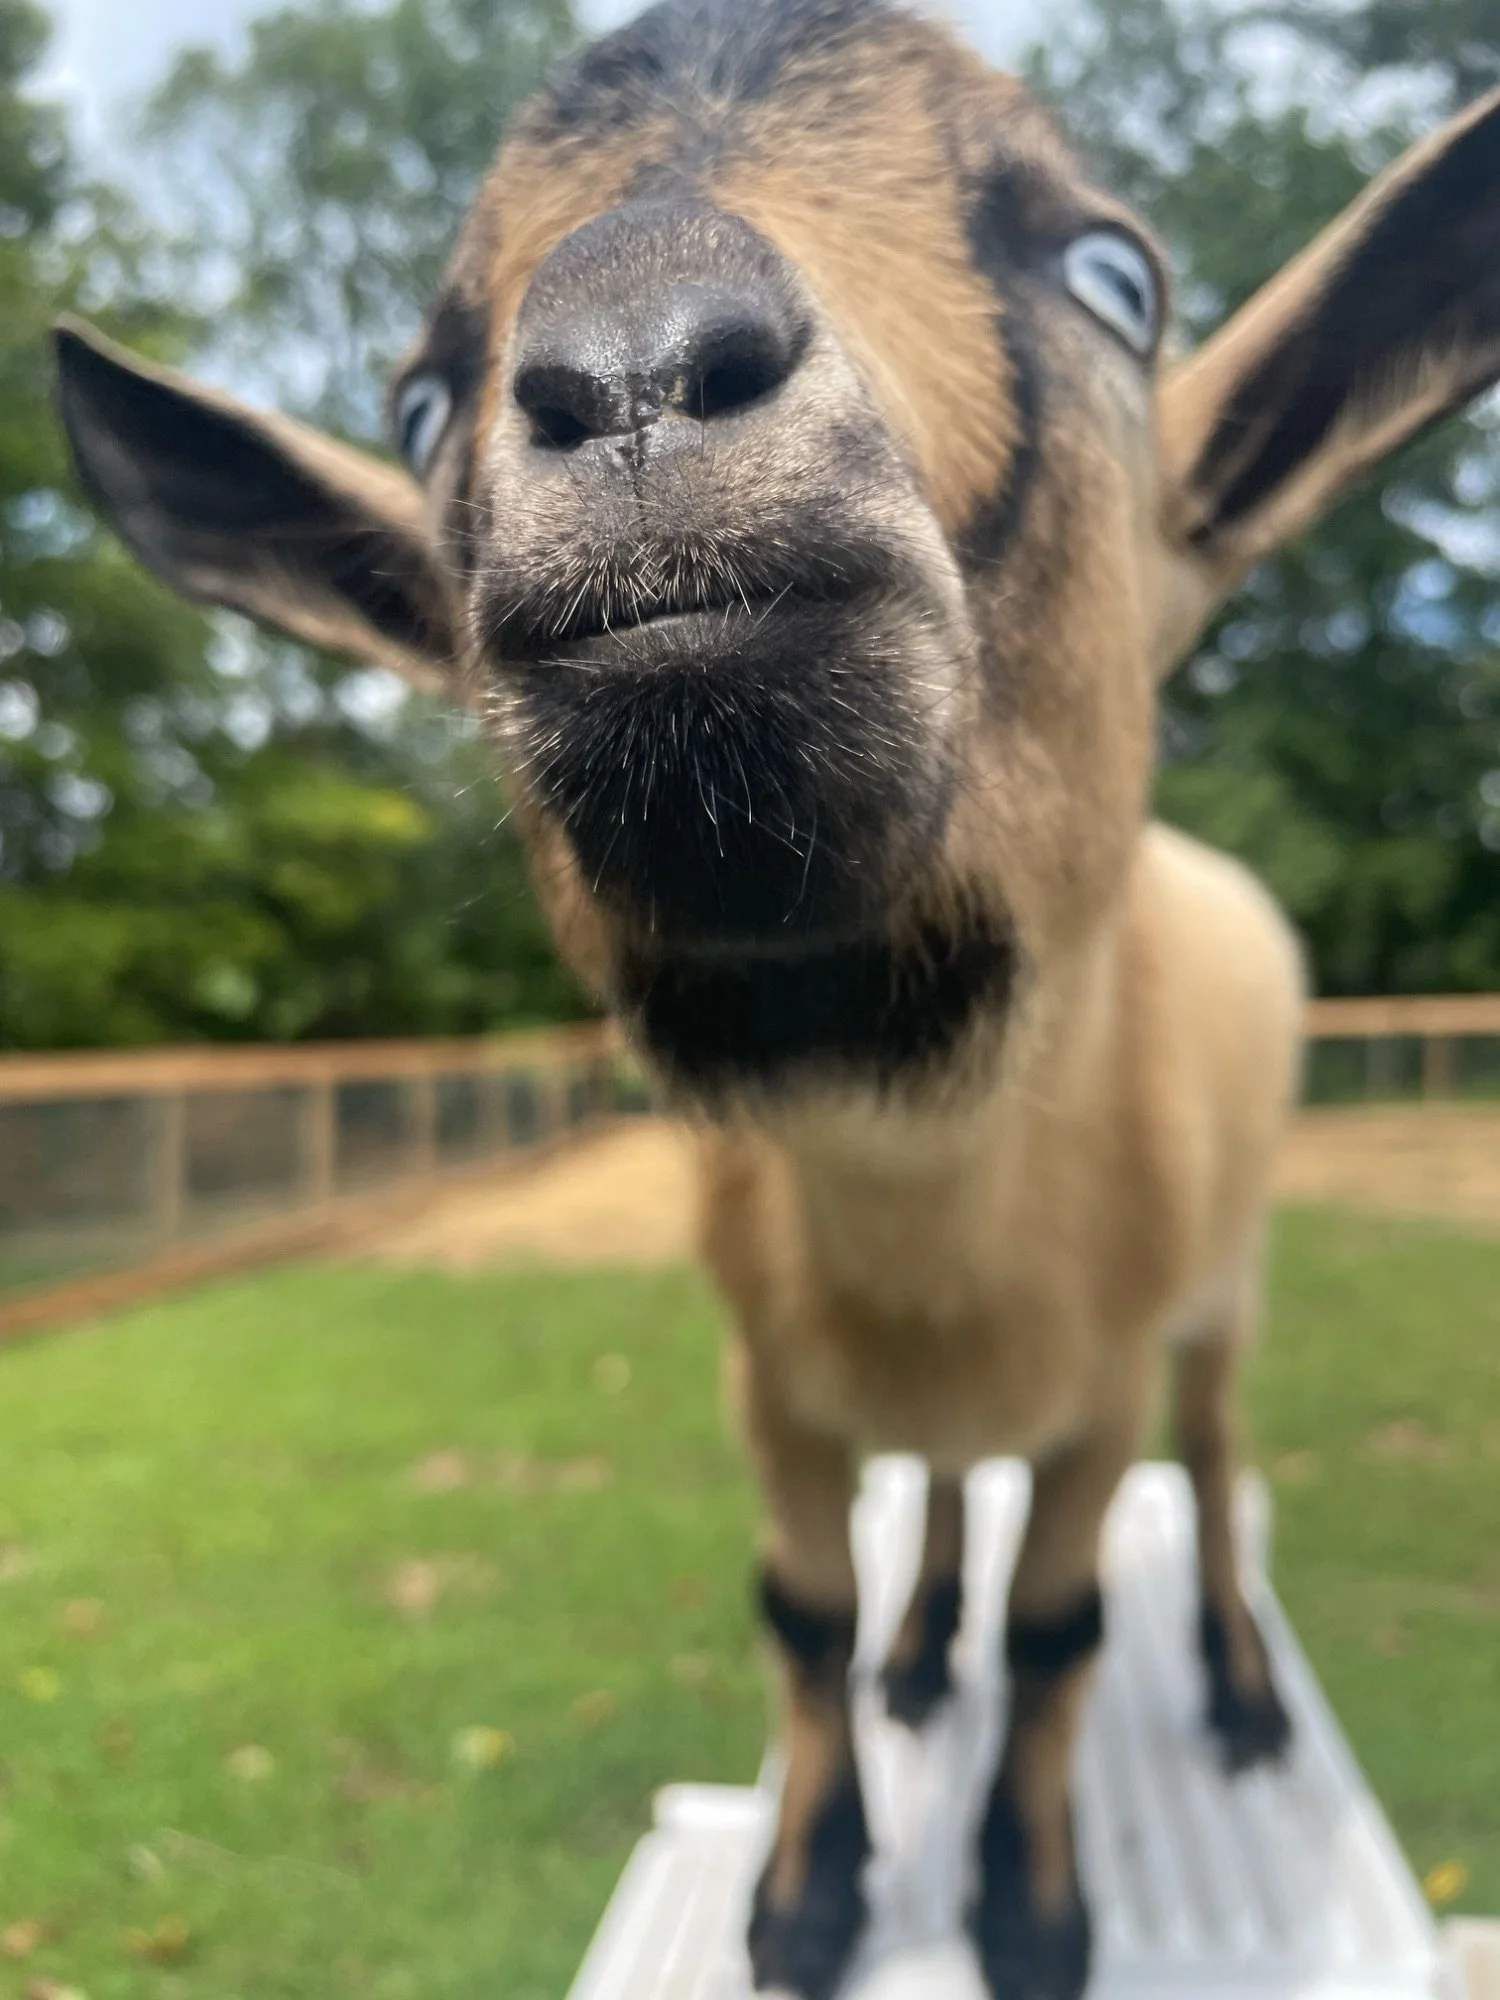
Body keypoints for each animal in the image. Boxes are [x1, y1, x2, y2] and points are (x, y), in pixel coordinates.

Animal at [53, 4, 1500, 1993]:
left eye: (1118, 277)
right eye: (417, 402)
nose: (637, 364)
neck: (923, 1224)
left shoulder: (1103, 1384)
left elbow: (1061, 1631)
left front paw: (1028, 1908)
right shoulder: (774, 1388)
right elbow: (801, 1608)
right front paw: (811, 1895)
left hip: (1228, 1276)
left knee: (1214, 1465)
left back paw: (1238, 1691)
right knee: (949, 1493)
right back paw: (923, 1653)